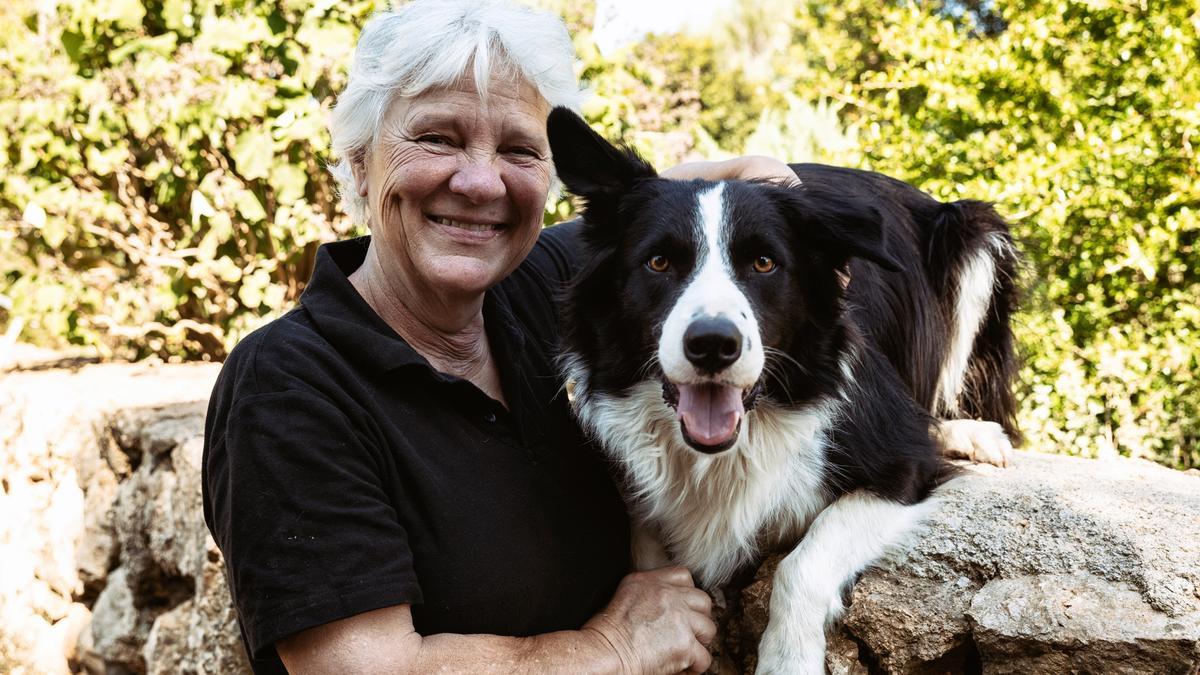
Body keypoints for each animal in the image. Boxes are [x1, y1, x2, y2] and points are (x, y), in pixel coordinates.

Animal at [549, 107, 1017, 667]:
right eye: (658, 262)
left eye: (764, 263)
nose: (713, 345)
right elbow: (646, 553)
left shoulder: (901, 462)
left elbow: (803, 561)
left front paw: (788, 658)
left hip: (973, 235)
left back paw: (970, 432)